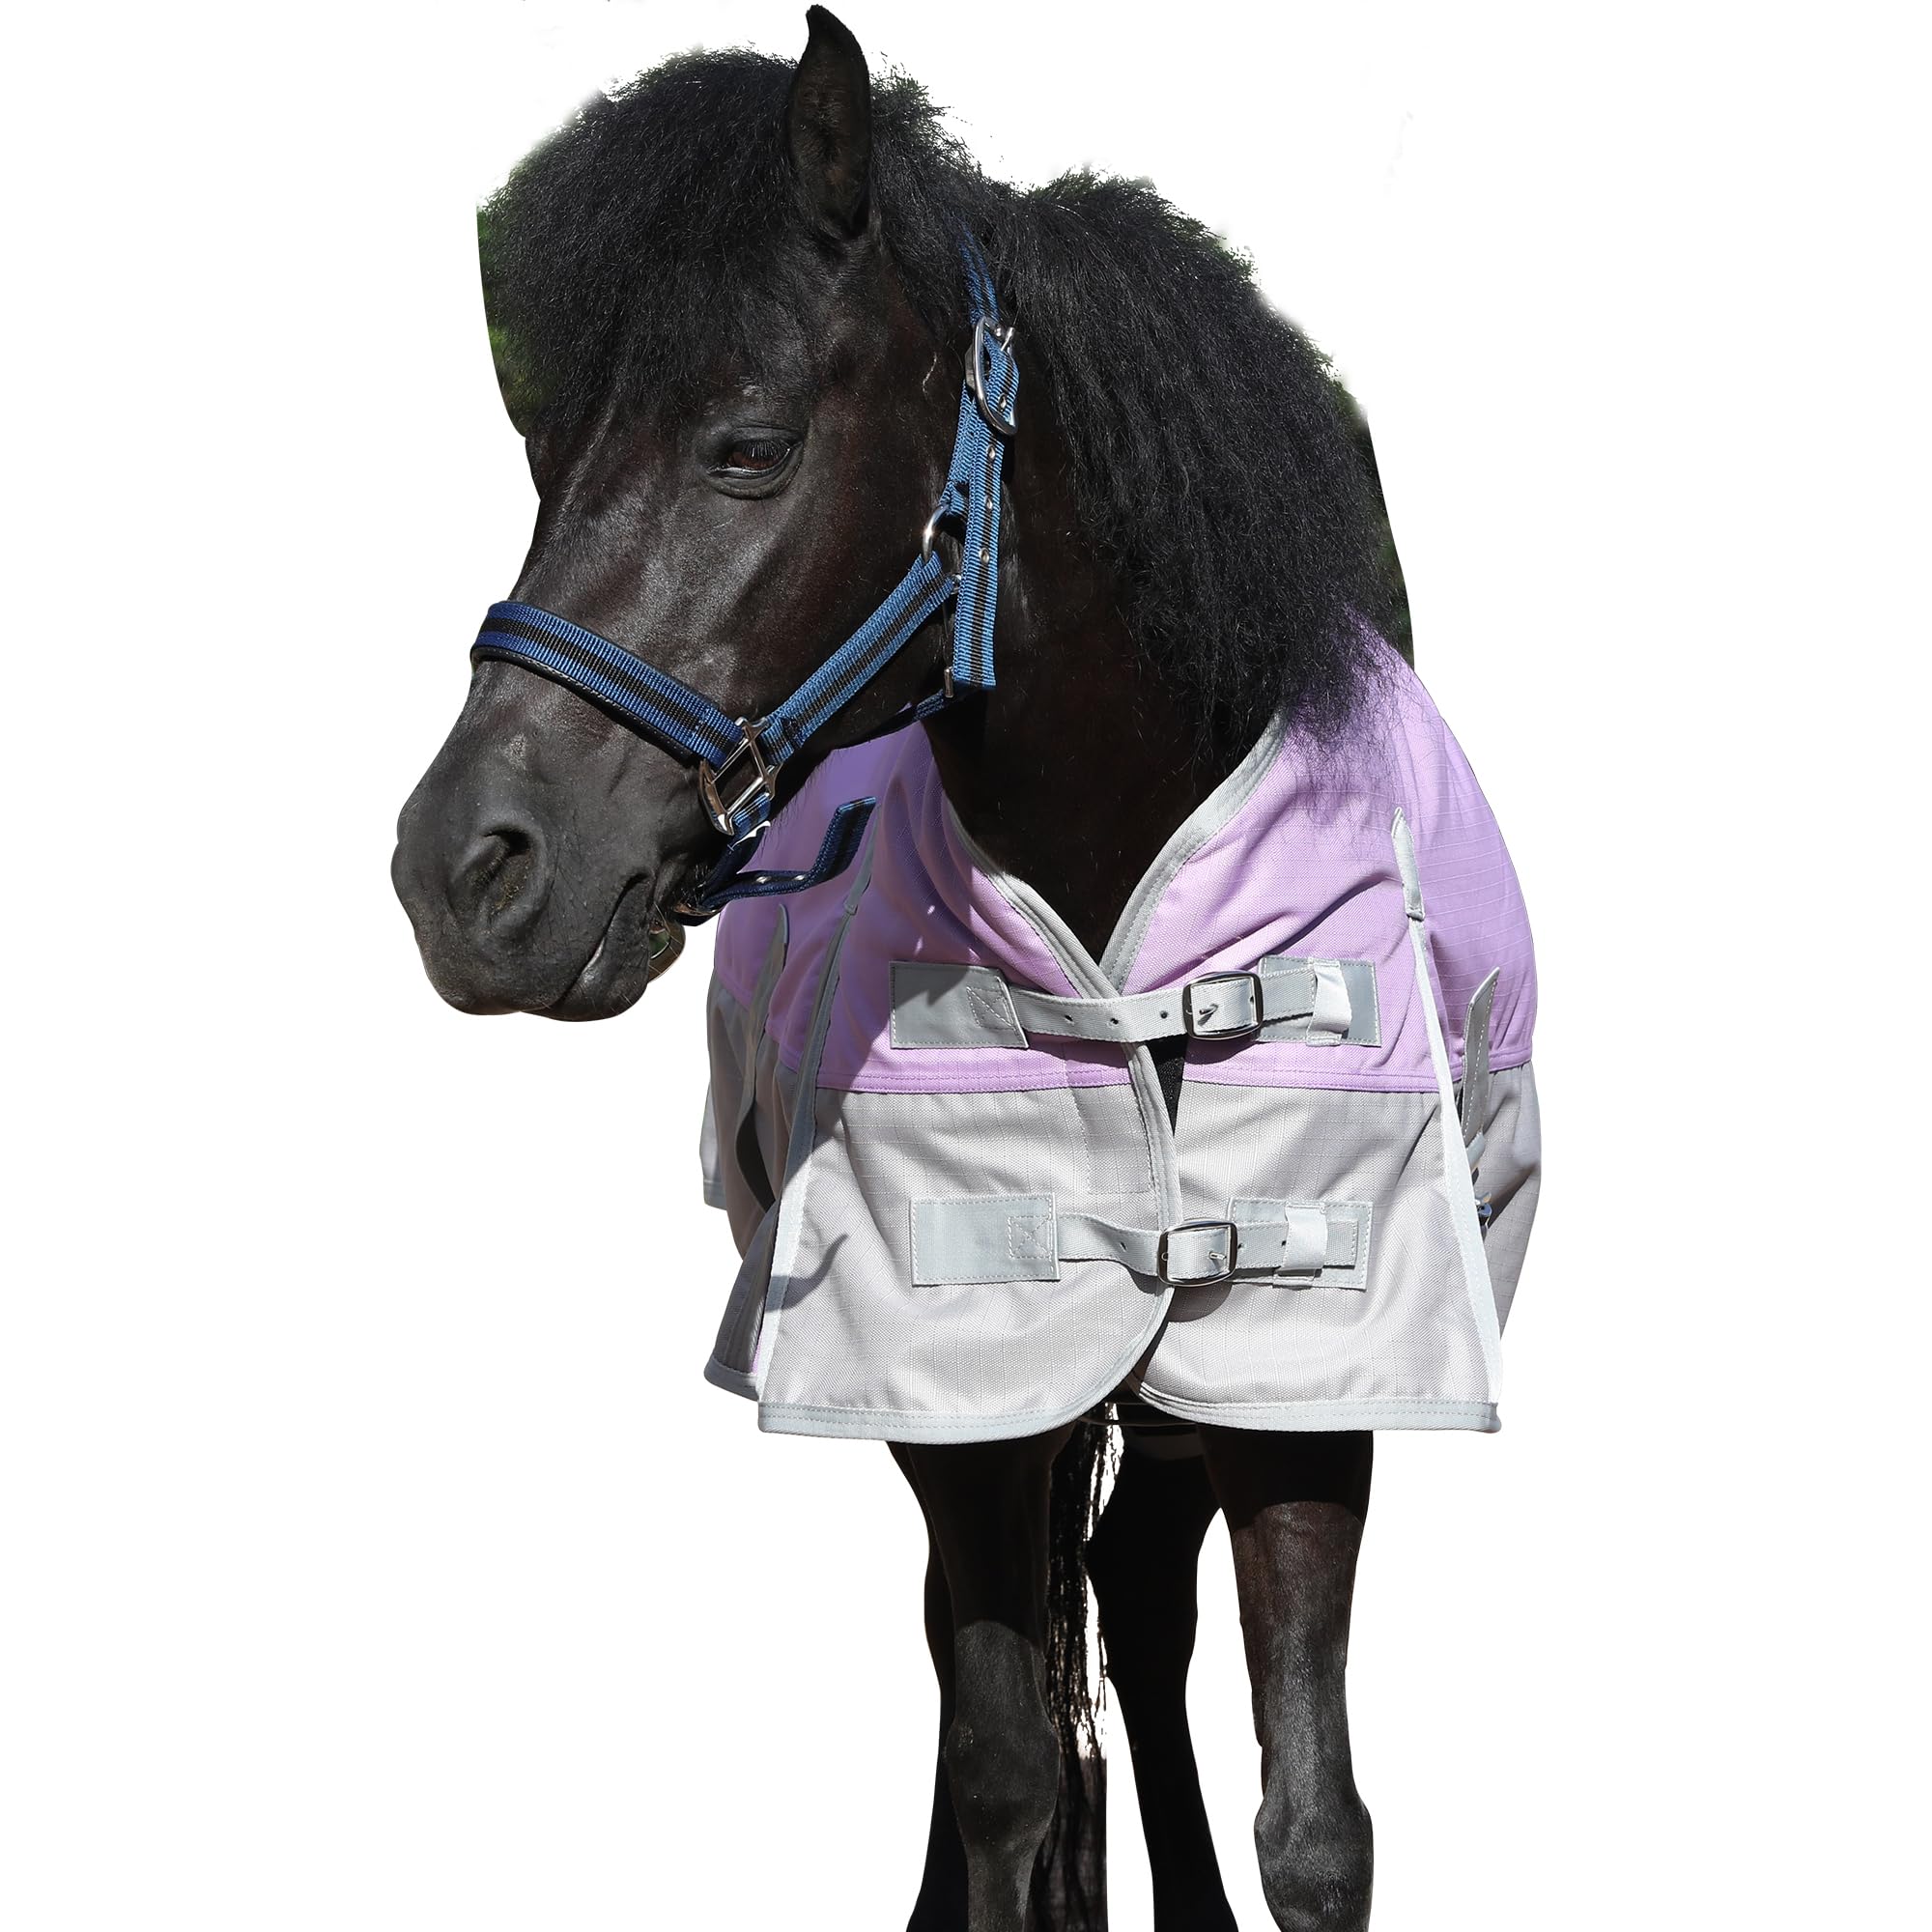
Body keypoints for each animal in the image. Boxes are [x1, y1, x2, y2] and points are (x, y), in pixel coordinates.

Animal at [393, 13, 1538, 1928]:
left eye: (749, 445)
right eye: (544, 452)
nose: (464, 871)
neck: (1125, 913)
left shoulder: (1311, 1379)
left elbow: (1315, 1825)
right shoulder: (960, 1381)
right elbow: (1002, 1762)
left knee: (1137, 1595)